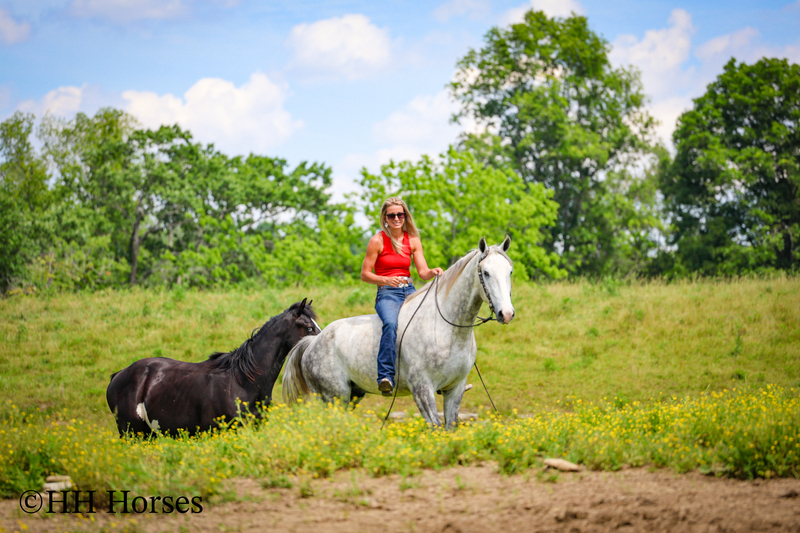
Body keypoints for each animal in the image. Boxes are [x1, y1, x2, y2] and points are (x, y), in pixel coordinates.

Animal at [282, 237, 515, 430]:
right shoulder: (422, 389)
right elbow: (435, 428)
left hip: (352, 395)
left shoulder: (455, 388)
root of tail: (312, 342)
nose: (506, 313)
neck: (445, 328)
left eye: (510, 271)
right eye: (486, 272)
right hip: (335, 397)